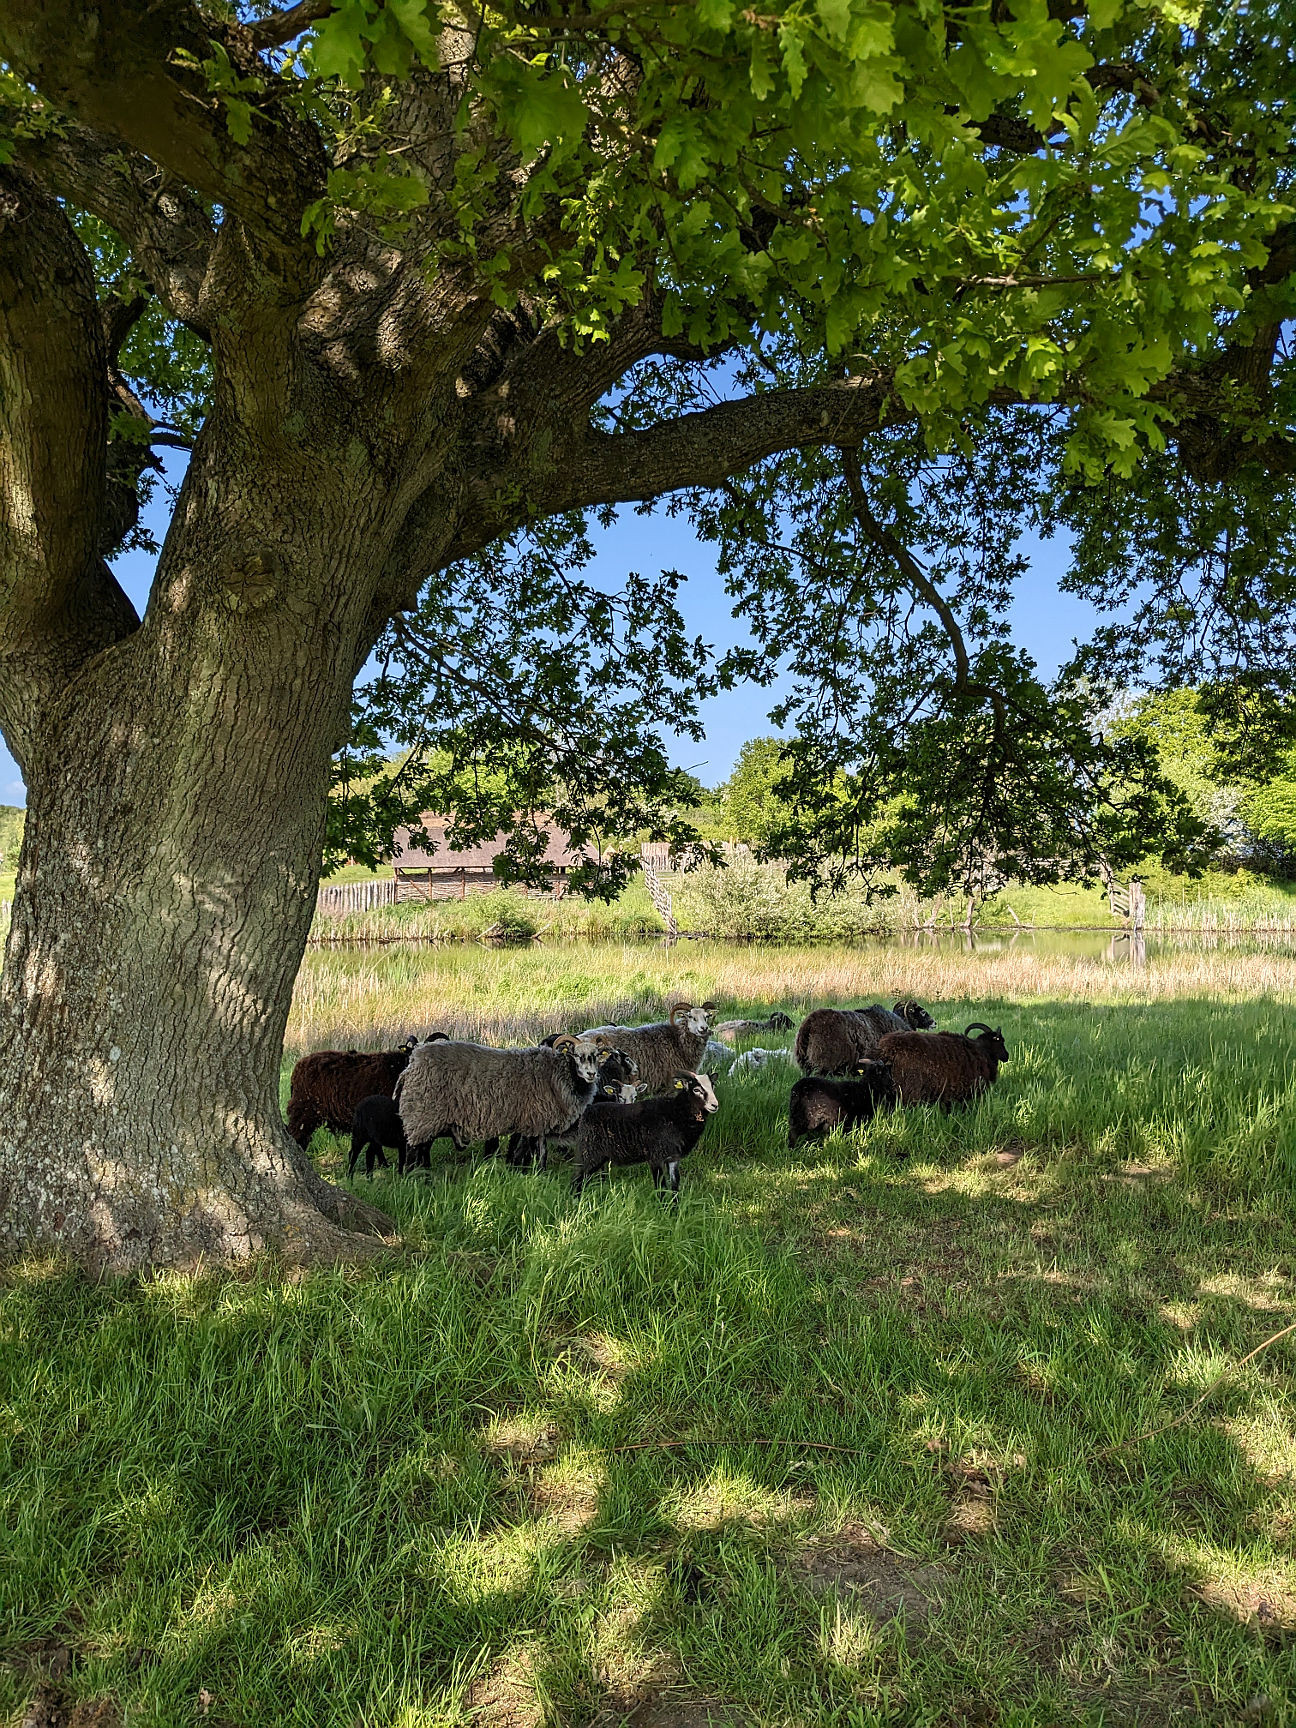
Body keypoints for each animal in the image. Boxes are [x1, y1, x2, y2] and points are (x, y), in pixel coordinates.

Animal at [577, 1071, 725, 1195]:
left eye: (713, 1087)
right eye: (696, 1090)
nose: (715, 1105)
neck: (676, 1113)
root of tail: (587, 1110)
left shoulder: (673, 1159)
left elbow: (675, 1187)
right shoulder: (655, 1157)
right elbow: (661, 1188)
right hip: (590, 1153)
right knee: (578, 1178)